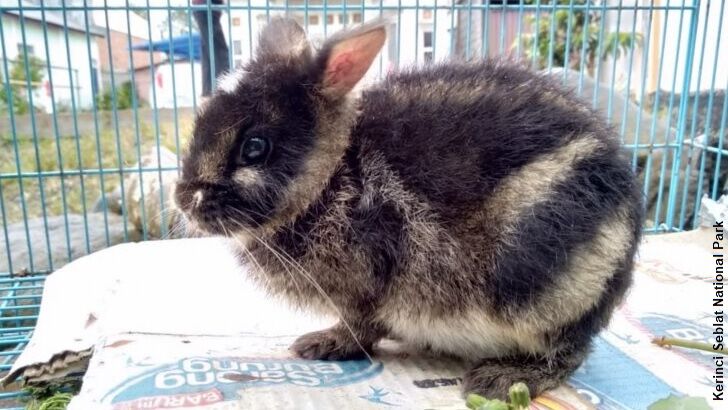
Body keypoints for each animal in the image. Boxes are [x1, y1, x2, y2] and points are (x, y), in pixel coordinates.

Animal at [174, 17, 644, 399]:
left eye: (255, 147)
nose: (184, 201)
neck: (335, 173)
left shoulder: (369, 285)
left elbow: (361, 326)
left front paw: (322, 344)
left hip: (531, 279)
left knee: (570, 351)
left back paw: (505, 379)